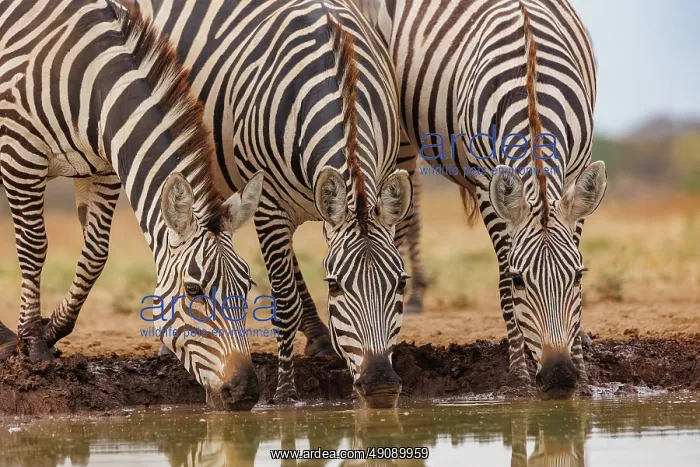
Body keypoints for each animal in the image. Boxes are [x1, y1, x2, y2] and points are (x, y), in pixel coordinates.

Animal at [0, 0, 265, 410]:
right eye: (193, 291)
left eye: (247, 285)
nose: (245, 392)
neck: (92, 84)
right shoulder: (20, 155)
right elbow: (34, 248)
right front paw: (32, 343)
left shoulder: (104, 168)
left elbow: (95, 255)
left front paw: (52, 329)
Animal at [352, 0, 607, 398]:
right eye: (520, 280)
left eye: (579, 276)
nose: (559, 377)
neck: (531, 83)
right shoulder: (487, 184)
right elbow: (501, 278)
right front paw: (519, 375)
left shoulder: (575, 175)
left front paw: (582, 374)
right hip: (397, 129)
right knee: (403, 209)